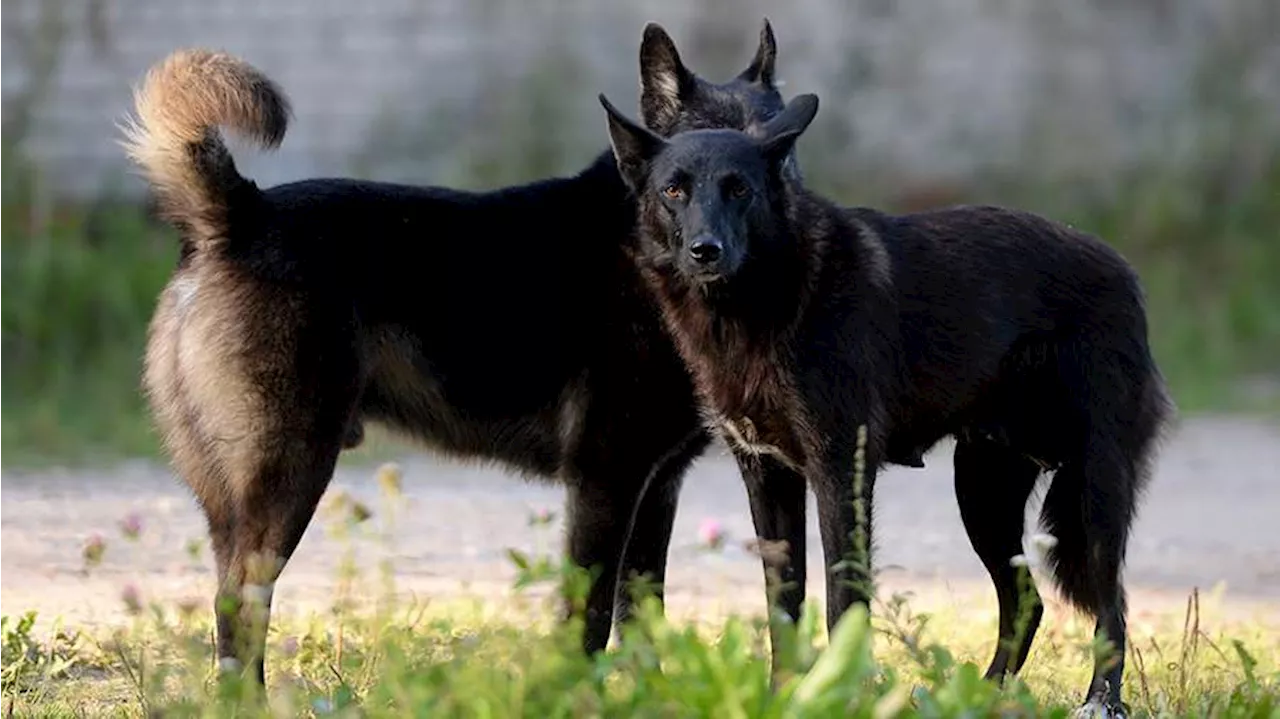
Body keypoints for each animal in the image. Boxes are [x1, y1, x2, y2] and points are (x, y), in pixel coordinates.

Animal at [122, 22, 798, 680]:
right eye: (691, 178)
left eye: (780, 154)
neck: (643, 244)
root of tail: (239, 213)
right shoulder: (605, 480)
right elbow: (587, 621)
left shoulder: (656, 488)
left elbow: (641, 623)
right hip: (289, 476)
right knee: (238, 610)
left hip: (234, 502)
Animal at [604, 92, 1172, 711]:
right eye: (674, 190)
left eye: (739, 189)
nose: (707, 251)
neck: (761, 306)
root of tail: (1122, 270)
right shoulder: (768, 476)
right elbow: (783, 607)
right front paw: (785, 696)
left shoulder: (839, 474)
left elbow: (842, 601)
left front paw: (841, 696)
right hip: (983, 494)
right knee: (1027, 600)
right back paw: (982, 696)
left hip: (1093, 490)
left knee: (1112, 606)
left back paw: (1101, 702)